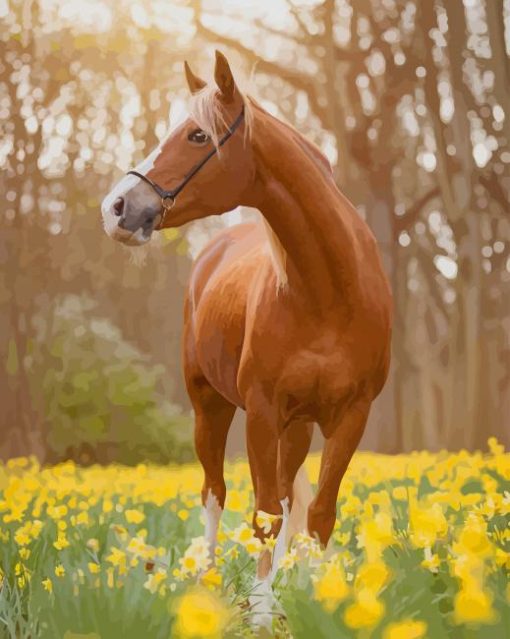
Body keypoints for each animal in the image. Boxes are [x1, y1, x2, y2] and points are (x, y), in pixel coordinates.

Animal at [101, 52, 392, 612]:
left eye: (197, 135)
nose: (116, 208)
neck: (326, 292)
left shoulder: (352, 416)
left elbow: (317, 513)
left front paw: (315, 602)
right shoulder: (260, 410)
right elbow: (263, 515)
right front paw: (260, 610)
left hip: (297, 427)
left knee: (288, 495)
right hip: (209, 407)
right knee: (214, 492)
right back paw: (210, 581)